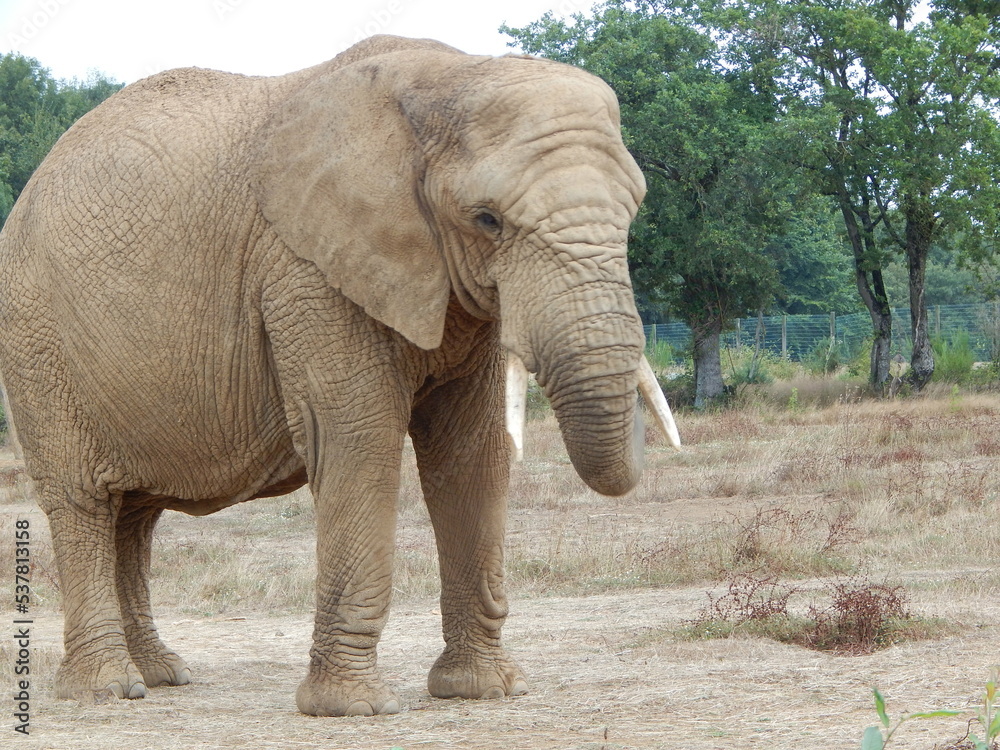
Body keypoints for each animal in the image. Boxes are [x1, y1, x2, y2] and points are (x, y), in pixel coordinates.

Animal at [0, 35, 679, 716]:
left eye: (636, 210)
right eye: (487, 219)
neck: (448, 74)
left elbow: (473, 455)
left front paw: (484, 691)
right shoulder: (308, 272)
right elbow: (359, 442)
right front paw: (353, 708)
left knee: (134, 516)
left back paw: (162, 676)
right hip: (36, 341)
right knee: (84, 501)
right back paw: (107, 690)